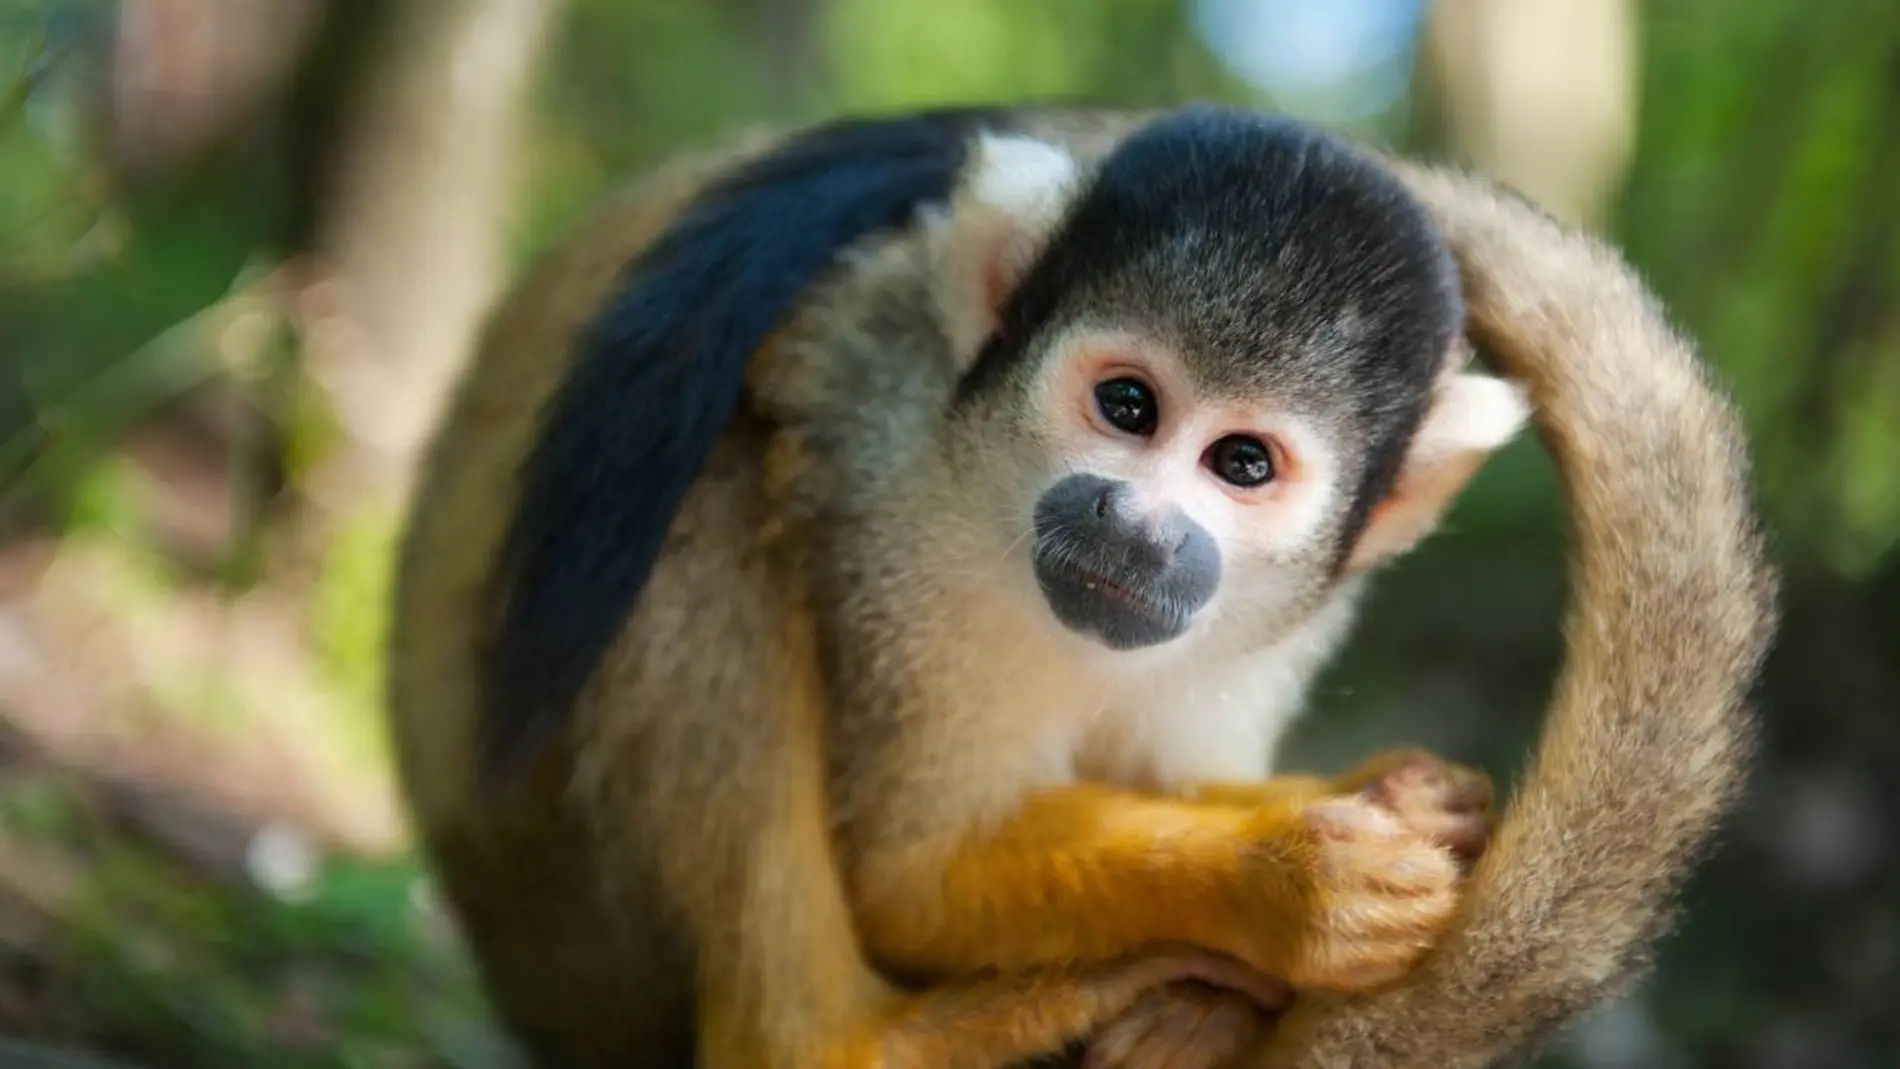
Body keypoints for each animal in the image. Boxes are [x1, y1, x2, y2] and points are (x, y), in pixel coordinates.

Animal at [384, 102, 1773, 1069]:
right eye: (1126, 405)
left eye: (1241, 463)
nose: (1136, 525)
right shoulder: (895, 483)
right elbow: (914, 865)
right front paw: (1283, 880)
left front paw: (1375, 804)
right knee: (703, 493)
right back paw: (833, 1040)